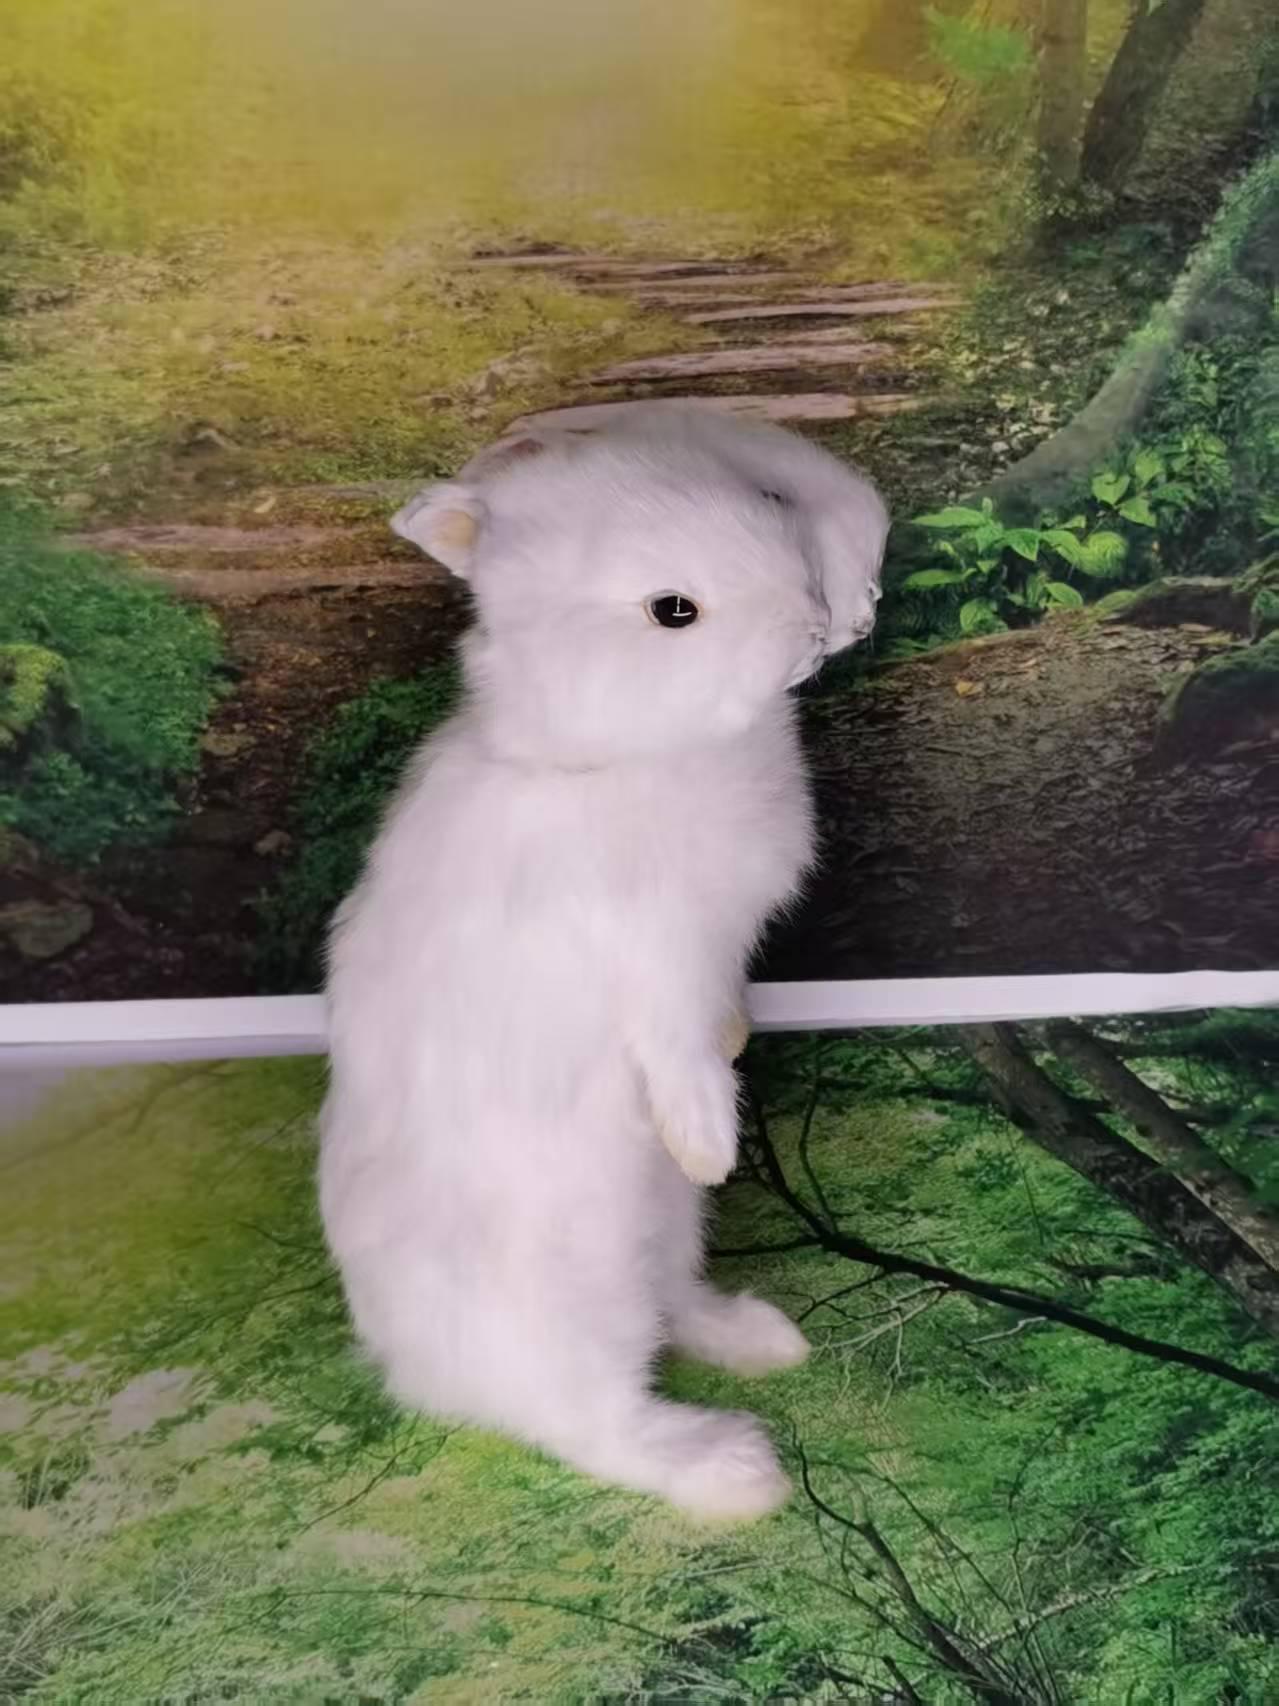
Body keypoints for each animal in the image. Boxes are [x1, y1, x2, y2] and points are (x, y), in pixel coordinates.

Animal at [318, 404, 888, 1521]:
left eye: (762, 501)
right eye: (673, 610)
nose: (815, 624)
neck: (626, 753)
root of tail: (414, 1370)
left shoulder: (716, 956)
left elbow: (715, 1017)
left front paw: (739, 1041)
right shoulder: (652, 960)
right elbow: (676, 1053)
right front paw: (708, 1140)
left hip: (666, 1235)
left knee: (676, 1309)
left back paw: (761, 1339)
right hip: (573, 1311)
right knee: (596, 1424)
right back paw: (732, 1472)